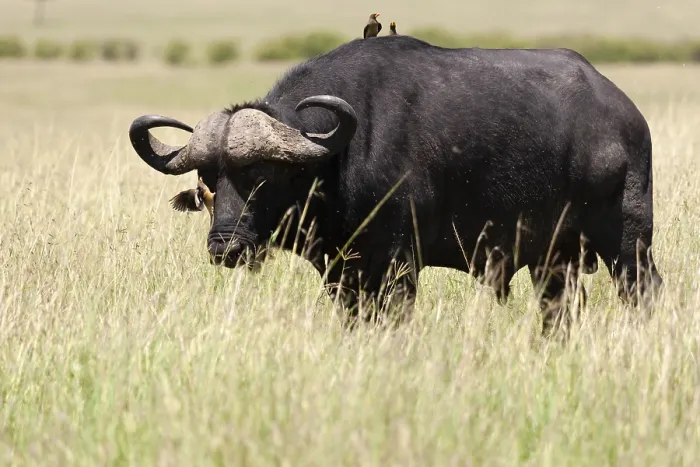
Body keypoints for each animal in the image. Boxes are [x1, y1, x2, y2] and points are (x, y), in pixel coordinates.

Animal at [128, 35, 663, 333]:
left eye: (262, 175)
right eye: (209, 180)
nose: (226, 247)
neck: (337, 159)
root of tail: (627, 115)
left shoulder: (397, 264)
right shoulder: (341, 271)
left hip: (627, 242)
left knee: (643, 291)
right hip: (555, 259)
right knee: (560, 308)